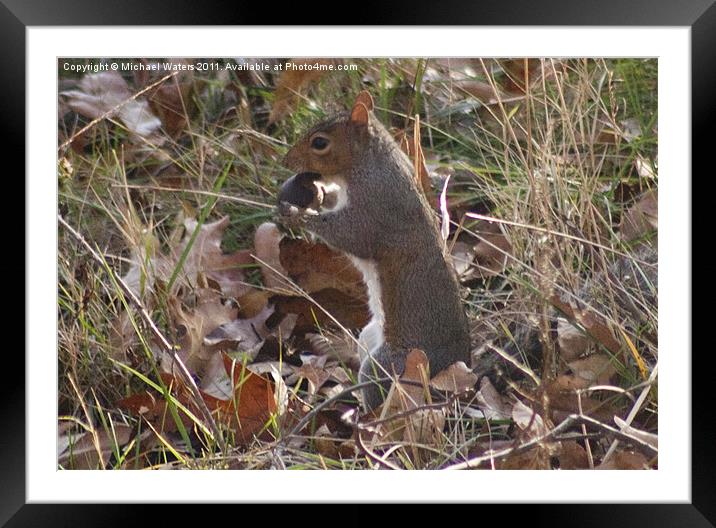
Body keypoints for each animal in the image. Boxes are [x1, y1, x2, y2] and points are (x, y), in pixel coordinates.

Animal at [276, 91, 472, 408]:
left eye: (320, 142)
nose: (287, 160)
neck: (369, 163)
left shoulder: (378, 204)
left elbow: (352, 235)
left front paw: (298, 214)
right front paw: (320, 194)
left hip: (388, 364)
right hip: (368, 338)